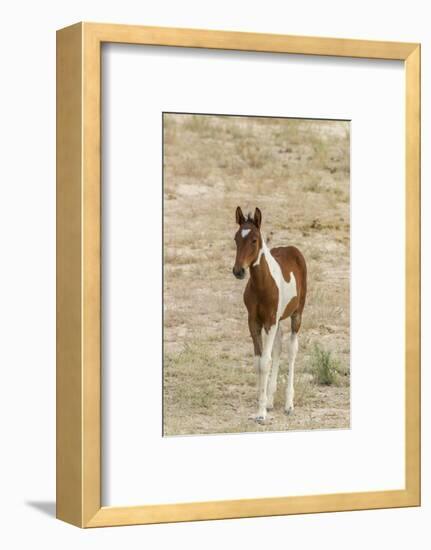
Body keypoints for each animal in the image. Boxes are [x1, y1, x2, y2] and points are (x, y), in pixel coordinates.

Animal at [233, 209, 308, 424]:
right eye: (235, 239)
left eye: (254, 240)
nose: (238, 271)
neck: (262, 284)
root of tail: (292, 248)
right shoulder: (254, 322)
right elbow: (259, 362)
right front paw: (263, 405)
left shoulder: (270, 321)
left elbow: (265, 362)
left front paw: (261, 414)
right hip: (279, 319)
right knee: (279, 347)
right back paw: (271, 400)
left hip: (296, 314)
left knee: (291, 349)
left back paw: (289, 404)